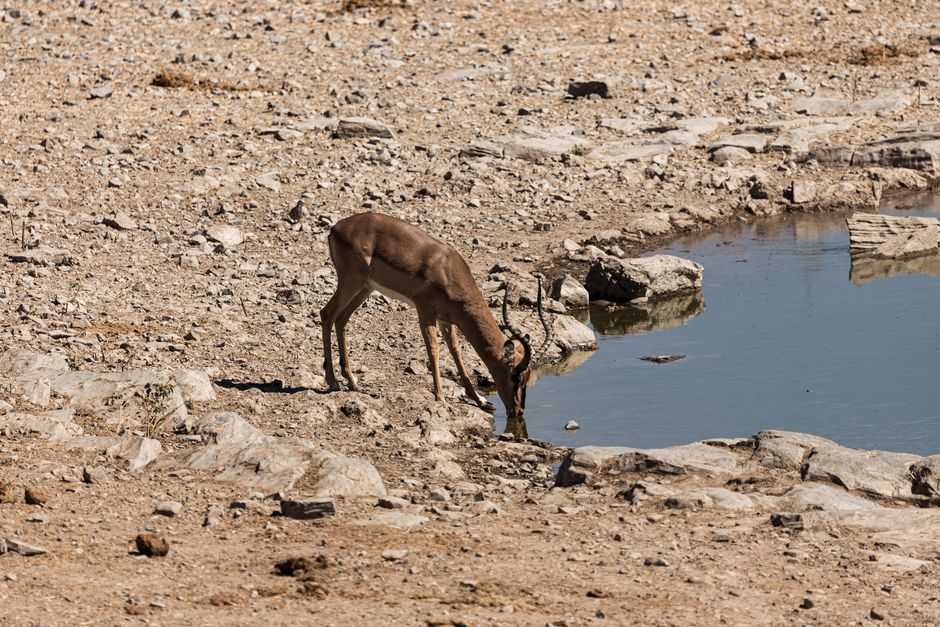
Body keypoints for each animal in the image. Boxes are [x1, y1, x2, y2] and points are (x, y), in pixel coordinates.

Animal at [320, 212, 552, 421]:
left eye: (527, 376)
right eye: (516, 376)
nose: (518, 411)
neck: (448, 271)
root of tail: (336, 228)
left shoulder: (447, 320)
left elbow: (456, 351)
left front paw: (481, 400)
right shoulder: (425, 312)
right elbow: (434, 350)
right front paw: (440, 398)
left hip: (366, 287)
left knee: (341, 320)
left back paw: (352, 381)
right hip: (352, 281)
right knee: (327, 314)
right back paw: (333, 382)